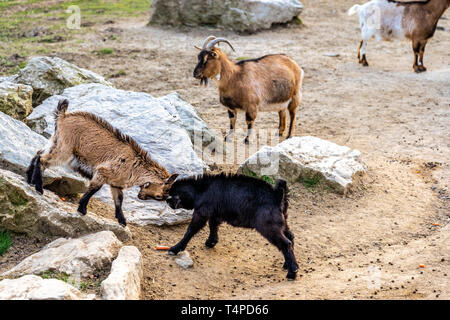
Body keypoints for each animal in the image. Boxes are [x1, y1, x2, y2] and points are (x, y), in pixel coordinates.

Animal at [25, 99, 178, 226]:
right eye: (159, 196)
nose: (140, 196)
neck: (135, 166)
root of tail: (62, 116)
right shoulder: (102, 172)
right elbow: (94, 189)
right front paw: (82, 209)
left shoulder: (116, 184)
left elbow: (119, 200)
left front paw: (122, 221)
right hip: (65, 150)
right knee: (43, 160)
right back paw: (38, 187)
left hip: (55, 141)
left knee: (38, 154)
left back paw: (29, 180)